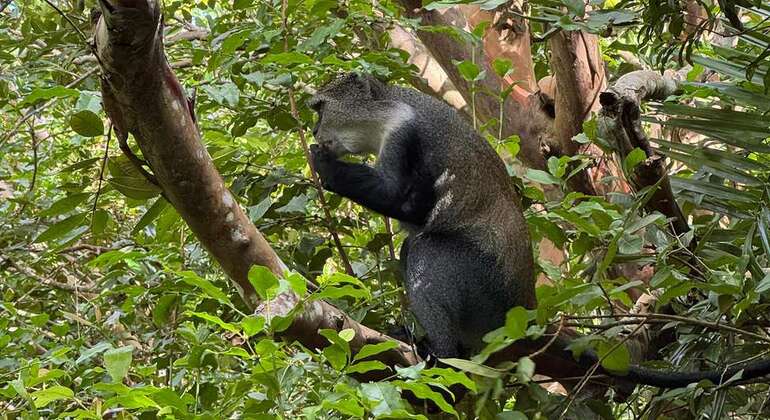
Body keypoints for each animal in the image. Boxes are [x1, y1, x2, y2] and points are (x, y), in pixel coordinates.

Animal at [307, 72, 770, 394]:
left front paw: (323, 165)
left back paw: (442, 353)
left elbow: (405, 203)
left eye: (318, 109)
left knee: (425, 251)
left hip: (481, 285)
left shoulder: (406, 134)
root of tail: (525, 308)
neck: (392, 105)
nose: (312, 132)